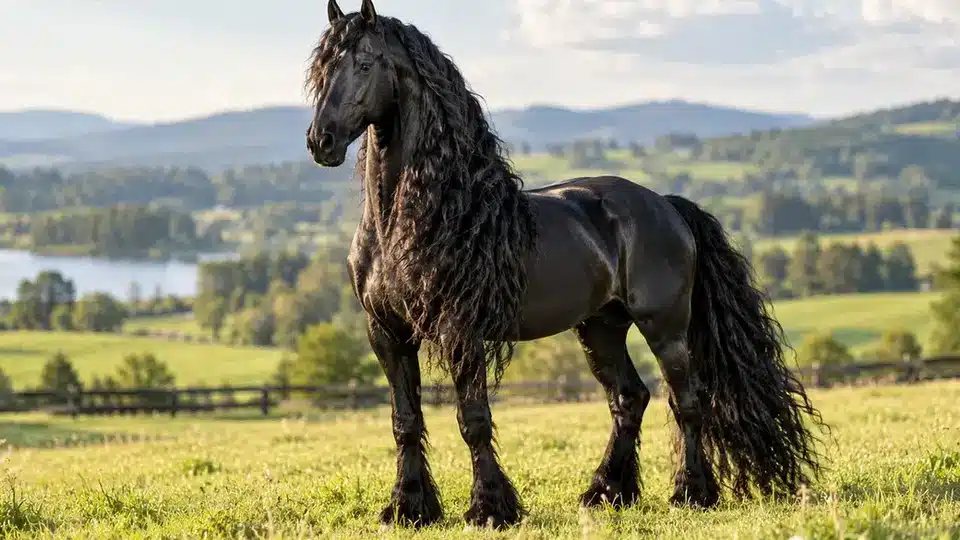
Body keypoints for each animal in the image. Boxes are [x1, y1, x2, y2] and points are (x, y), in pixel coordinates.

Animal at [305, 0, 826, 529]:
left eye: (364, 64)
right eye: (321, 70)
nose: (320, 141)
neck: (420, 221)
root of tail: (667, 204)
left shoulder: (461, 331)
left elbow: (474, 420)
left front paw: (490, 509)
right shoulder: (387, 333)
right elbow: (405, 421)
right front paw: (408, 508)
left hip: (665, 327)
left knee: (688, 401)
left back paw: (690, 493)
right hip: (601, 326)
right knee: (629, 398)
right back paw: (606, 493)